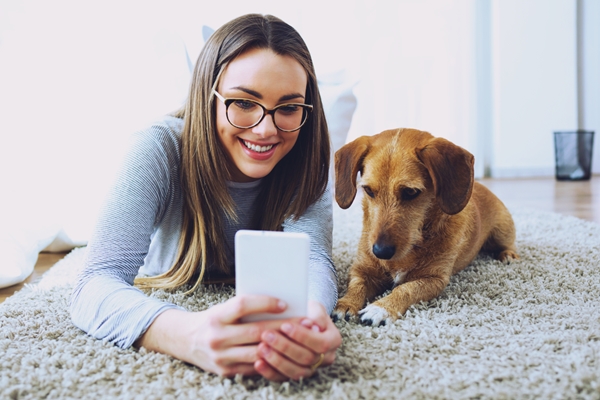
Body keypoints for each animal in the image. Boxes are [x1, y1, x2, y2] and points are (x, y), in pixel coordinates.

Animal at [332, 128, 520, 324]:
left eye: (410, 192)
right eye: (368, 190)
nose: (380, 252)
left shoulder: (434, 279)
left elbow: (405, 289)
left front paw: (381, 308)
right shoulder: (362, 270)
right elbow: (356, 285)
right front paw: (346, 304)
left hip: (502, 232)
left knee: (509, 244)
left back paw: (508, 255)